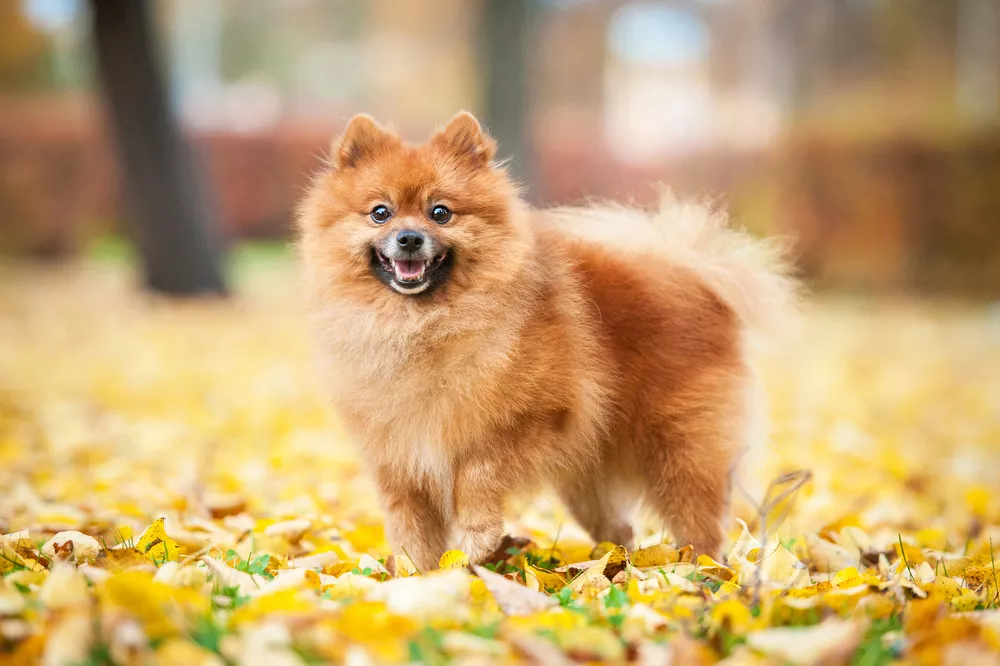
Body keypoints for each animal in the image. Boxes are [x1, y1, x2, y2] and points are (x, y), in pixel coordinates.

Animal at [296, 111, 796, 568]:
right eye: (380, 212)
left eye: (441, 212)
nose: (409, 238)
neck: (422, 327)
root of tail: (695, 277)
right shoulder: (397, 458)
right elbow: (410, 530)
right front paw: (418, 579)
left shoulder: (527, 420)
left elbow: (476, 474)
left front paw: (476, 542)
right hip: (588, 480)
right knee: (620, 529)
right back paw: (609, 568)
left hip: (682, 455)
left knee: (701, 526)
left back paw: (698, 577)